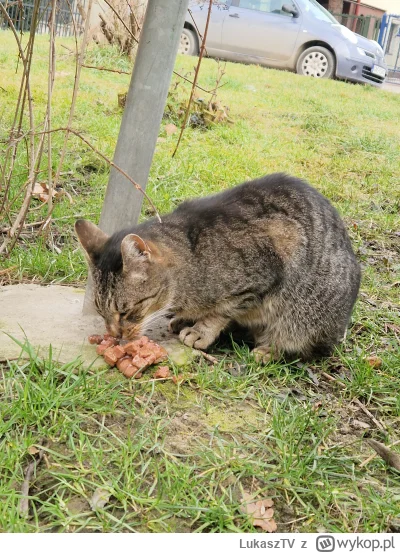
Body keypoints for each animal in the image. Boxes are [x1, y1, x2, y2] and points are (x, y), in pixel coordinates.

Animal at [74, 175, 360, 360]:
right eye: (100, 312)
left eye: (126, 311)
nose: (116, 336)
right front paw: (187, 318)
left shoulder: (263, 271)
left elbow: (221, 311)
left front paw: (201, 330)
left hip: (304, 315)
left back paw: (268, 350)